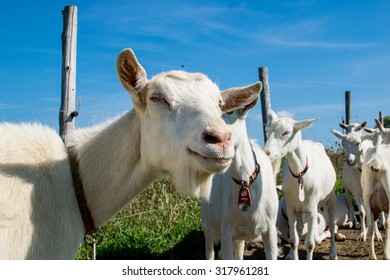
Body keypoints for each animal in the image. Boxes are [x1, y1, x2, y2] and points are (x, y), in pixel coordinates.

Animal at [201, 94, 280, 260]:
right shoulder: (226, 231)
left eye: (229, 112)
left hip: (239, 237)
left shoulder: (270, 230)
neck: (245, 181)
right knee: (209, 251)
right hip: (208, 226)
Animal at [266, 110, 338, 260]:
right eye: (267, 131)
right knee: (298, 228)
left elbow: (310, 243)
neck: (299, 175)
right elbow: (293, 240)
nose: (266, 153)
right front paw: (293, 254)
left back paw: (333, 253)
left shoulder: (312, 208)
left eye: (286, 132)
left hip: (331, 197)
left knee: (332, 224)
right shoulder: (291, 207)